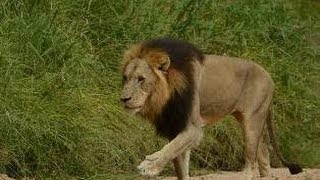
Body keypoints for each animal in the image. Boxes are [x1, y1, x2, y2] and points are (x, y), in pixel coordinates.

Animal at [119, 37, 302, 179]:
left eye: (141, 79)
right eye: (125, 78)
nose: (123, 99)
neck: (166, 97)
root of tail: (269, 77)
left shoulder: (193, 128)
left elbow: (170, 149)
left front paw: (148, 167)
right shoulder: (176, 127)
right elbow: (180, 163)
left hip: (252, 120)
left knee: (251, 162)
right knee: (263, 152)